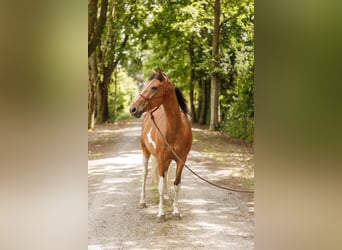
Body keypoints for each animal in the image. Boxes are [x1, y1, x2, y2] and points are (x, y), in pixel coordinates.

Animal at [129, 69, 192, 222]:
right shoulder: (161, 158)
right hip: (146, 152)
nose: (133, 109)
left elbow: (177, 184)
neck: (176, 128)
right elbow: (161, 184)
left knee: (166, 175)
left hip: (167, 160)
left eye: (154, 87)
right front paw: (161, 214)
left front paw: (176, 212)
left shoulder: (181, 160)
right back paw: (143, 202)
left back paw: (167, 196)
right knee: (145, 174)